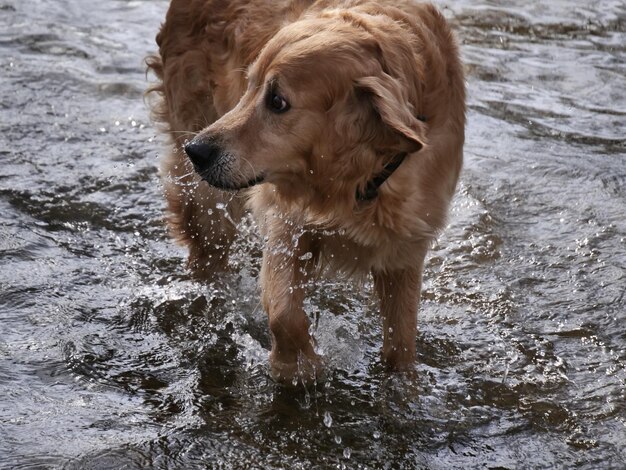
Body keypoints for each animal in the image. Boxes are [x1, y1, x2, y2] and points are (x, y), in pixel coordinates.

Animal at [147, 0, 464, 382]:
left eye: (278, 101)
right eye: (249, 86)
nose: (196, 151)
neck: (358, 178)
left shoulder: (405, 251)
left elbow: (401, 346)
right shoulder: (288, 222)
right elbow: (285, 313)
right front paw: (298, 366)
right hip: (207, 200)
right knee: (208, 257)